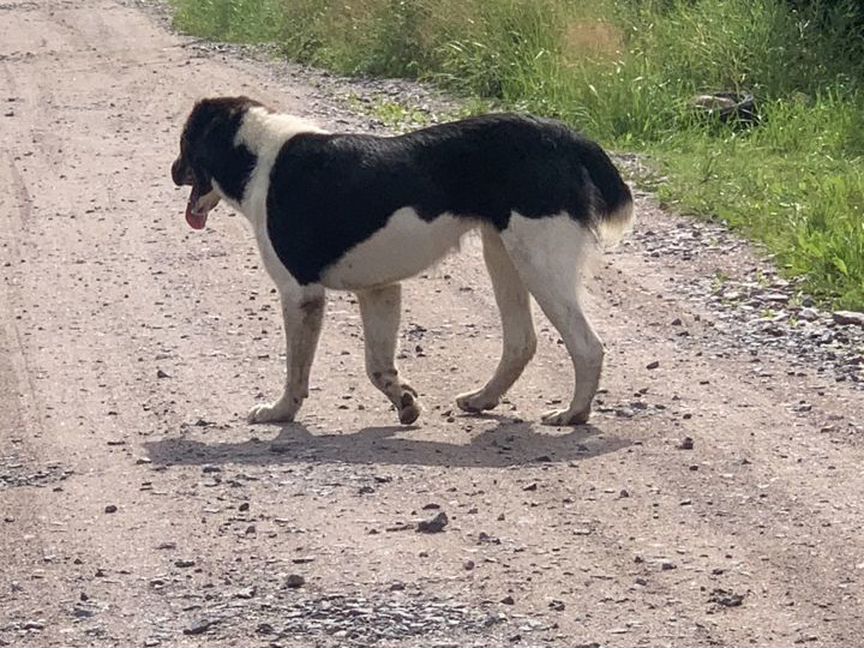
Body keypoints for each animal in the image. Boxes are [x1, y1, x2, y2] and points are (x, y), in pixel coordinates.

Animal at [172, 96, 636, 428]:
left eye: (185, 143)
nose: (173, 172)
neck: (258, 156)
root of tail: (566, 137)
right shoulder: (379, 290)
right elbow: (377, 366)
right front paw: (406, 403)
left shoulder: (300, 294)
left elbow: (296, 369)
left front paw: (279, 412)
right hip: (503, 255)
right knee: (522, 341)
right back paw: (482, 399)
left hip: (538, 261)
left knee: (587, 346)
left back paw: (572, 414)